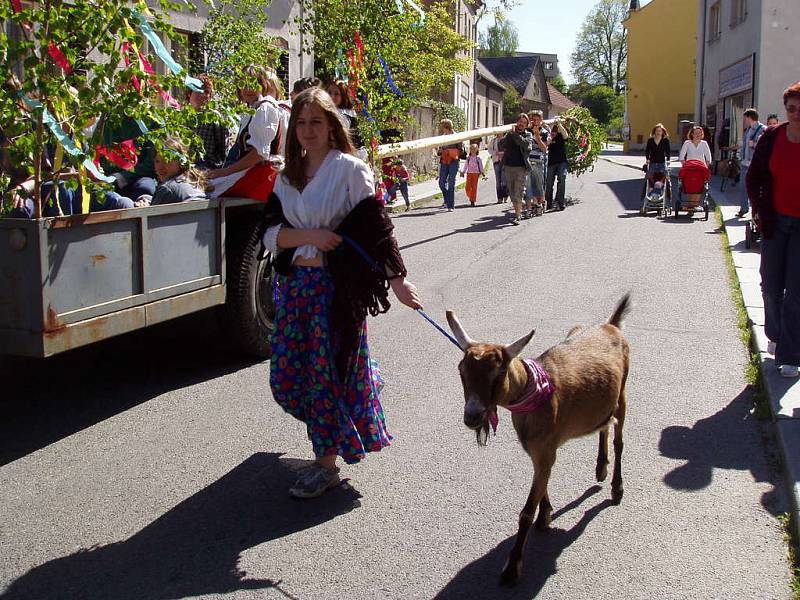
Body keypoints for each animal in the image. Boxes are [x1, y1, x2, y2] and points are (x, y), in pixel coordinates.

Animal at [446, 296, 628, 584]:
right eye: (461, 370)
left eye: (499, 373)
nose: (472, 416)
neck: (533, 390)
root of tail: (610, 325)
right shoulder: (538, 451)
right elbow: (541, 485)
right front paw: (546, 514)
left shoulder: (546, 451)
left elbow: (526, 512)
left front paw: (512, 569)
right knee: (604, 426)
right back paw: (600, 468)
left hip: (623, 395)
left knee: (619, 440)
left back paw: (616, 488)